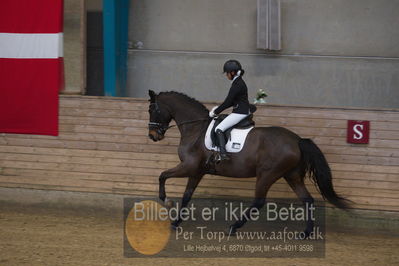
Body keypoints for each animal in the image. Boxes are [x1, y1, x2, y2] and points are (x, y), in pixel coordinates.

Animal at [147, 90, 350, 236]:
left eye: (152, 110)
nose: (152, 136)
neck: (196, 128)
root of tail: (298, 140)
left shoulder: (188, 166)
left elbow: (162, 176)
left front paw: (166, 200)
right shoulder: (197, 171)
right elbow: (186, 196)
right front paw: (176, 222)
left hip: (267, 174)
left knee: (259, 202)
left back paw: (234, 227)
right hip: (291, 176)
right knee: (307, 200)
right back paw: (306, 233)